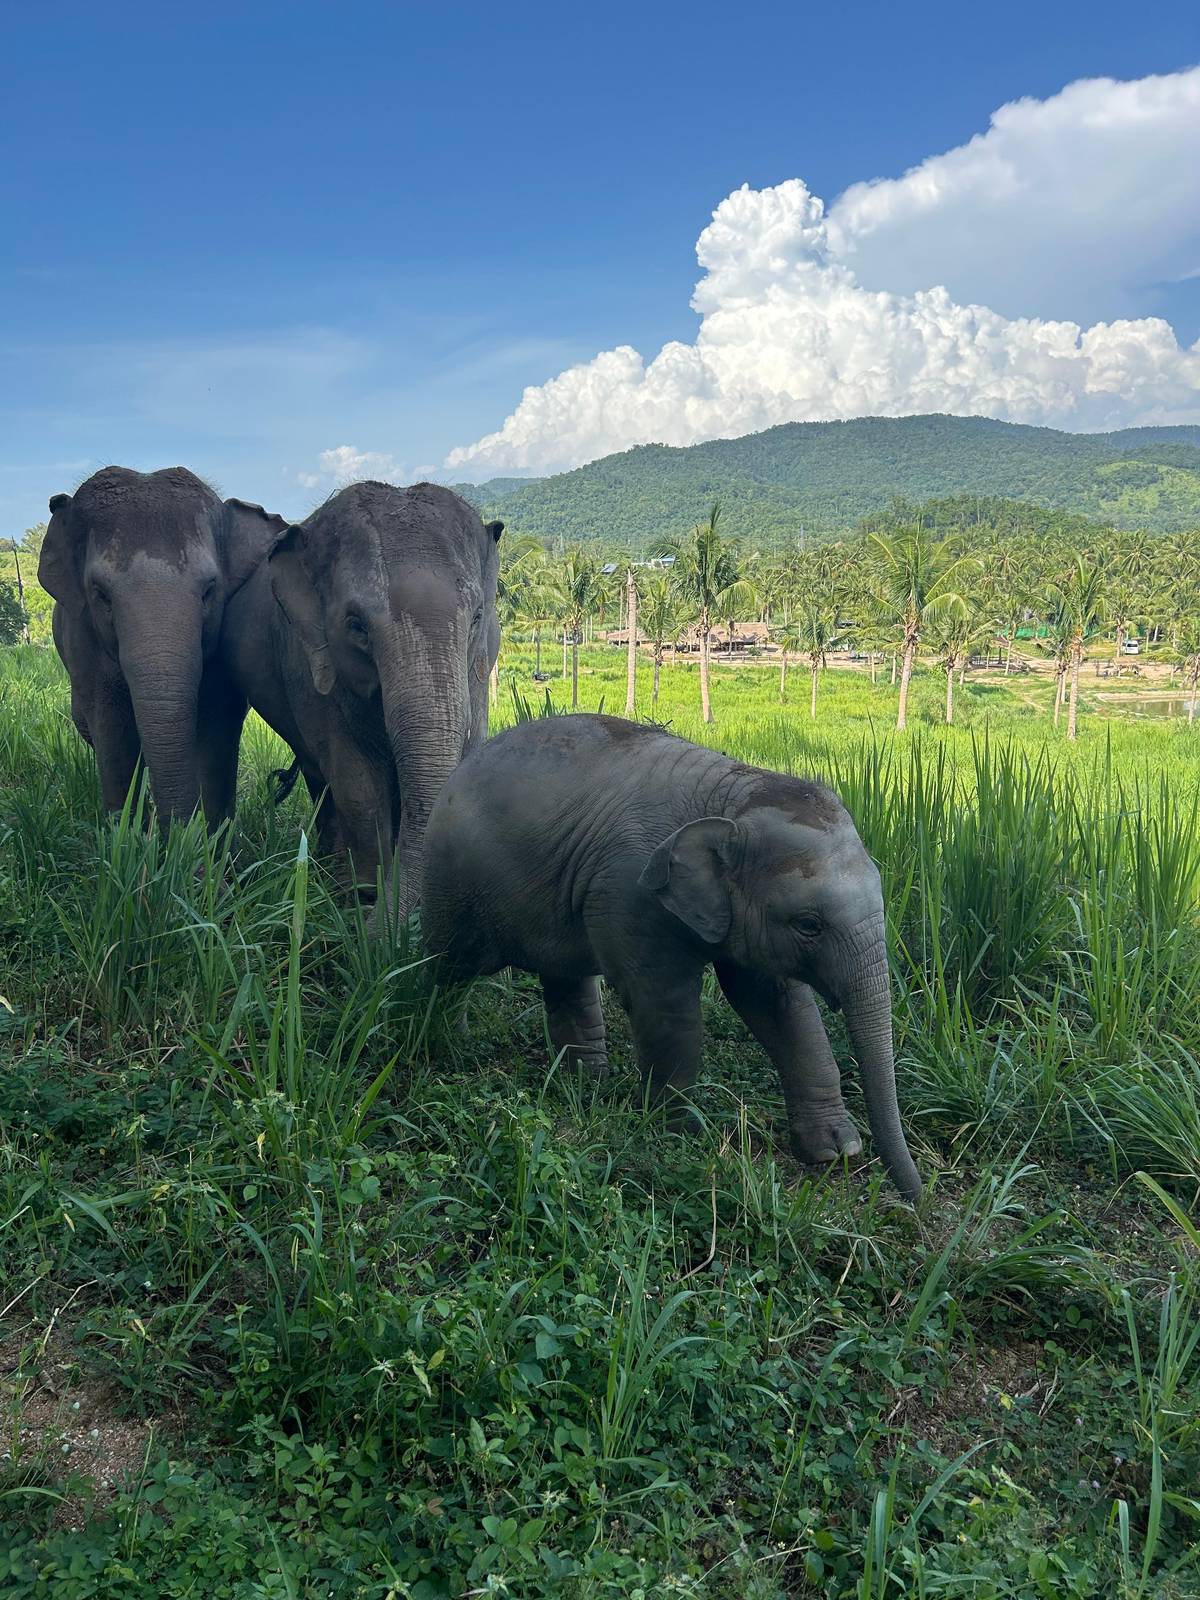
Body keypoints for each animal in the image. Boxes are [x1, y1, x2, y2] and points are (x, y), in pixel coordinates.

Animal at [39, 466, 285, 824]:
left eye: (209, 590)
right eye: (101, 595)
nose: (179, 831)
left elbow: (216, 721)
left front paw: (210, 836)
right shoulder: (83, 640)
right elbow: (111, 727)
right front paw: (126, 833)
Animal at [219, 480, 502, 912]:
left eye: (476, 618)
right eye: (356, 627)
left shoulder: (479, 670)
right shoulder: (309, 663)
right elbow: (356, 778)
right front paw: (364, 896)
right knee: (322, 776)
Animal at [422, 713, 922, 1200]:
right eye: (809, 924)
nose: (913, 1196)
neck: (731, 793)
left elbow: (780, 1007)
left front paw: (836, 1151)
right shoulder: (631, 892)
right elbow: (666, 1004)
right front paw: (675, 1133)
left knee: (565, 979)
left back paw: (585, 1086)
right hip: (450, 881)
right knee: (449, 966)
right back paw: (447, 1044)